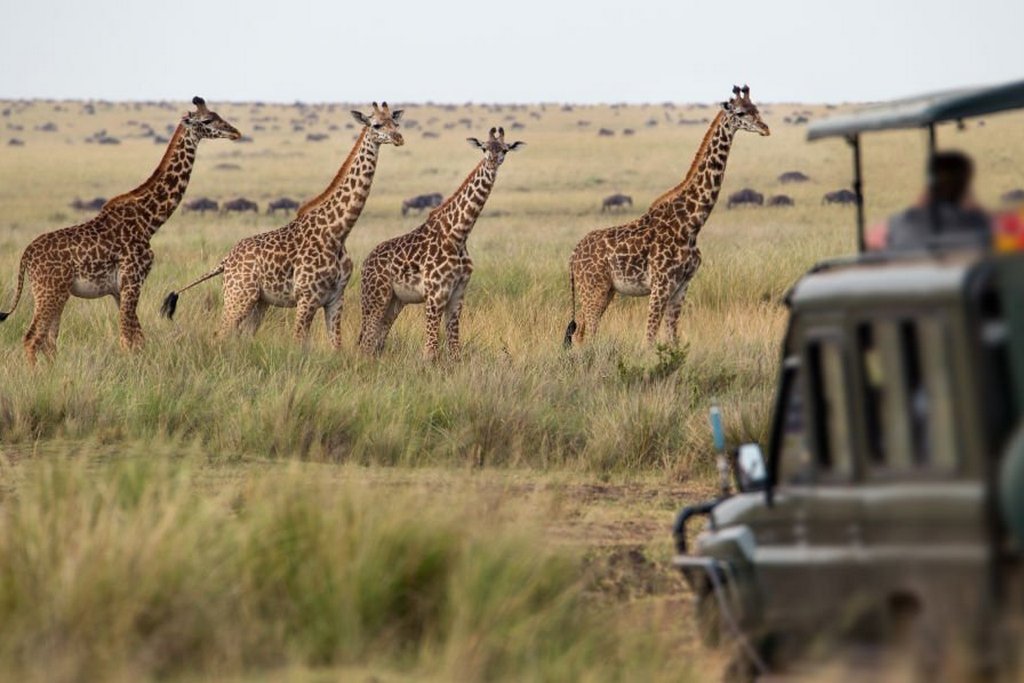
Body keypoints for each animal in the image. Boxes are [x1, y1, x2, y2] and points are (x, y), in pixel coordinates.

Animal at [0, 96, 240, 366]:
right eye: (207, 120)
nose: (235, 132)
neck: (148, 222)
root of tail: (26, 256)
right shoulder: (133, 280)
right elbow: (128, 338)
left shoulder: (119, 289)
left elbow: (136, 337)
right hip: (49, 291)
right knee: (33, 337)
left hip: (55, 293)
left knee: (48, 340)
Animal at [157, 100, 401, 348]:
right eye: (376, 124)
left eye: (396, 122)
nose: (399, 138)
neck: (338, 231)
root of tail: (225, 261)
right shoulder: (307, 297)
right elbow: (299, 342)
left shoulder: (335, 298)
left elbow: (336, 346)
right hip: (238, 296)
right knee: (221, 333)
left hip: (259, 301)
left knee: (243, 336)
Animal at [356, 126, 524, 360]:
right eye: (484, 147)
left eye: (505, 150)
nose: (492, 162)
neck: (458, 234)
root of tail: (365, 263)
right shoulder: (435, 294)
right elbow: (431, 351)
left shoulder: (457, 294)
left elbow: (454, 350)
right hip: (375, 296)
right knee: (366, 342)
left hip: (395, 301)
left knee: (377, 342)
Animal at [565, 84, 770, 348]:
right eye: (741, 113)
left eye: (756, 108)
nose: (765, 128)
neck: (691, 223)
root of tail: (572, 256)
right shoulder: (661, 285)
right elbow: (649, 338)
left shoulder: (681, 286)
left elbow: (672, 338)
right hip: (594, 288)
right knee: (585, 334)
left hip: (604, 289)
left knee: (581, 332)